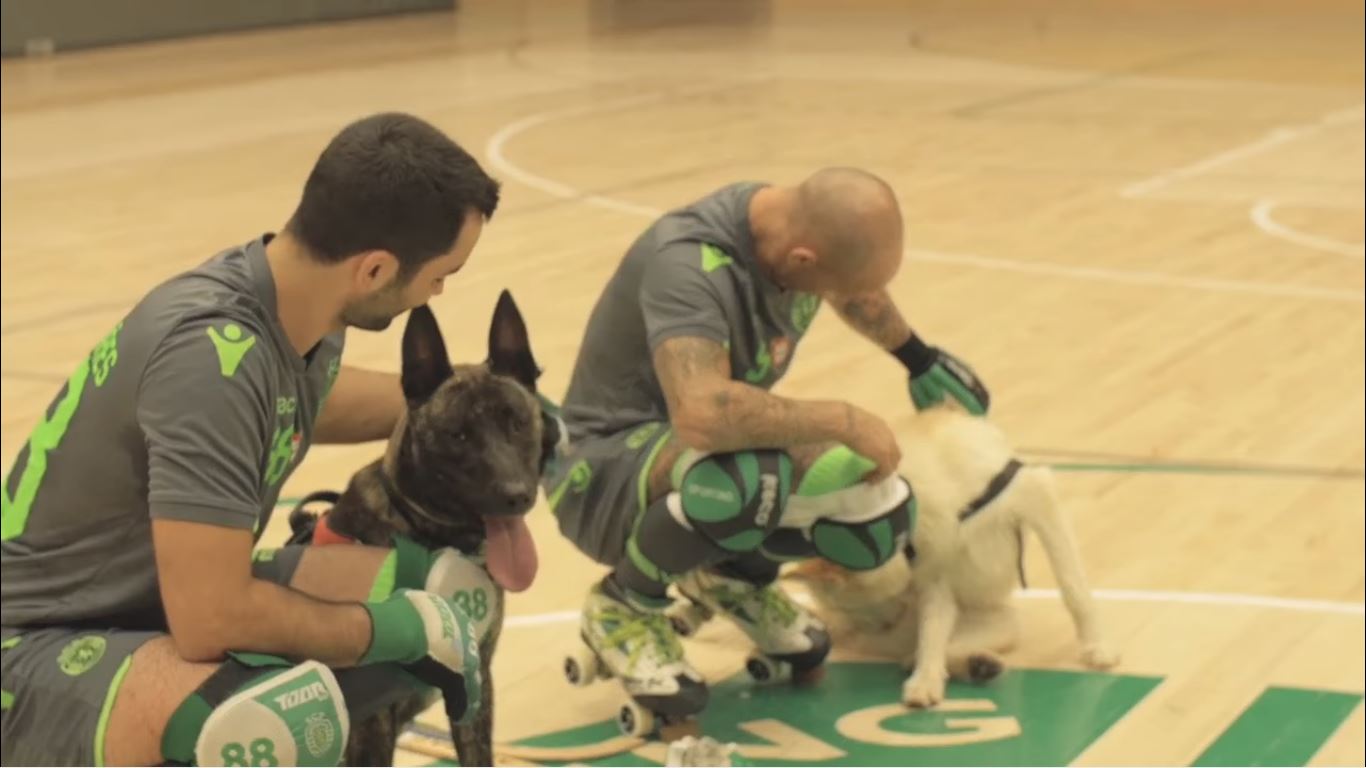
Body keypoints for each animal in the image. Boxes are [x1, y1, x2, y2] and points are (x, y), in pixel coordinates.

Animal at [290, 289, 557, 759]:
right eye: (458, 435)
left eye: (518, 421)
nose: (516, 496)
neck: (422, 530)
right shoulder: (371, 725)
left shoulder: (476, 692)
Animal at [786, 407, 1114, 705]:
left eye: (849, 604)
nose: (868, 626)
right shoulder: (934, 573)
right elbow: (933, 630)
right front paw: (927, 677)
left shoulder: (1037, 497)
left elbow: (1073, 588)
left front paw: (1097, 645)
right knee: (926, 646)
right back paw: (965, 664)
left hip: (1001, 620)